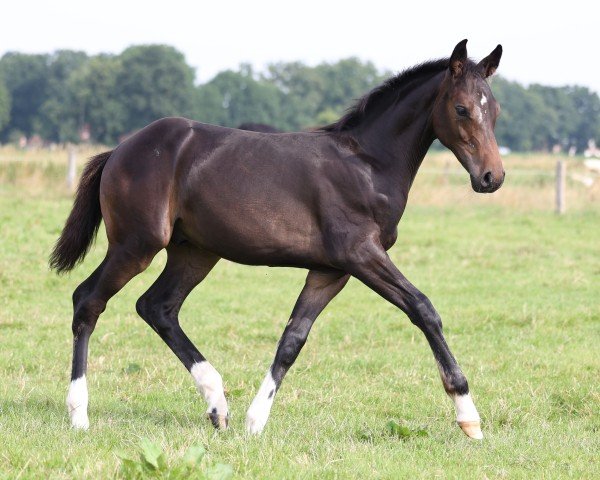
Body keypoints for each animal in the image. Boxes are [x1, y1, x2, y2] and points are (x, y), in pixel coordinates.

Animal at [50, 40, 502, 438]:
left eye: (494, 110)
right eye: (461, 108)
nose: (491, 178)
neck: (368, 165)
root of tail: (119, 150)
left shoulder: (330, 271)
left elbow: (293, 338)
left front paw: (255, 422)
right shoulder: (361, 255)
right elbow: (423, 309)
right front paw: (469, 417)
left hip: (194, 253)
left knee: (157, 307)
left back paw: (218, 405)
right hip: (136, 245)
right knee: (88, 301)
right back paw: (78, 414)